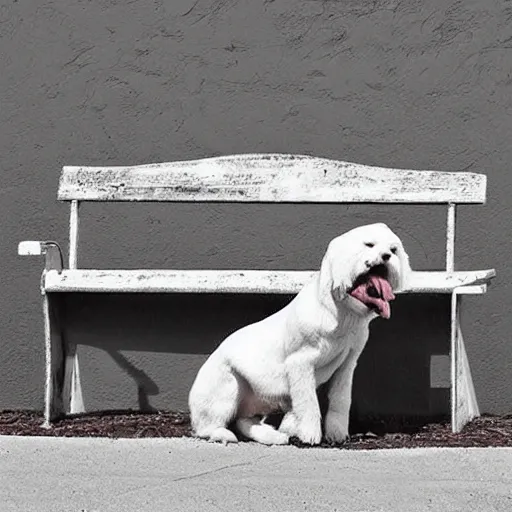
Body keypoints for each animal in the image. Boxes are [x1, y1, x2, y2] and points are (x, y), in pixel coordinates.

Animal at [189, 223, 412, 444]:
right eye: (369, 244)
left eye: (394, 250)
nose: (386, 256)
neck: (342, 314)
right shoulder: (300, 362)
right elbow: (308, 402)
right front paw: (310, 435)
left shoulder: (347, 364)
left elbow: (340, 400)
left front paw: (336, 434)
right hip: (227, 386)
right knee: (207, 425)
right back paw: (223, 434)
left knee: (244, 421)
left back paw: (273, 435)